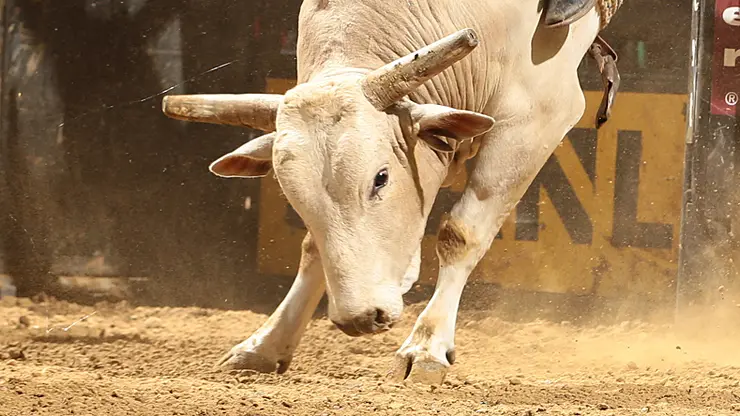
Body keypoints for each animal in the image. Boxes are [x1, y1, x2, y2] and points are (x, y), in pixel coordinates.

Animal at [161, 0, 622, 384]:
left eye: (380, 178)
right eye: (292, 197)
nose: (361, 317)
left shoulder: (538, 117)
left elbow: (461, 234)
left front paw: (426, 346)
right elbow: (313, 249)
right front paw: (265, 344)